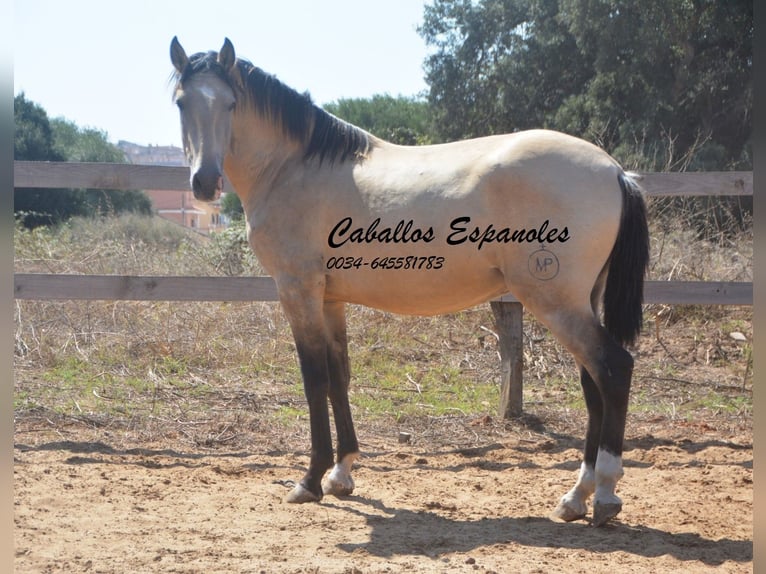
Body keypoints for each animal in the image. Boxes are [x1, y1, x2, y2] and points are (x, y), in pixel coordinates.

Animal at [171, 38, 652, 528]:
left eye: (231, 103)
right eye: (182, 103)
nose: (205, 182)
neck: (293, 166)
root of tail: (614, 171)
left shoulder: (298, 290)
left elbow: (314, 379)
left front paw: (310, 480)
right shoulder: (330, 298)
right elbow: (339, 376)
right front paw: (342, 473)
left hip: (555, 300)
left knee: (613, 370)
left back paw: (605, 494)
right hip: (581, 300)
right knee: (593, 384)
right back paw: (576, 496)